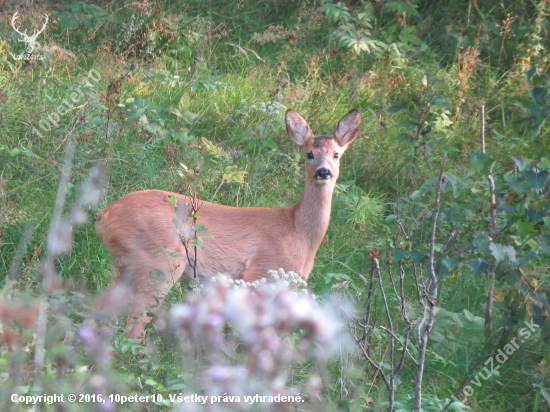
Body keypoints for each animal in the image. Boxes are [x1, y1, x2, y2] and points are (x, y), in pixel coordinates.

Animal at [95, 108, 362, 336]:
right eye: (309, 154)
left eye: (336, 154)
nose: (323, 172)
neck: (299, 232)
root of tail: (104, 217)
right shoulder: (259, 273)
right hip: (161, 259)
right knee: (135, 321)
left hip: (128, 265)